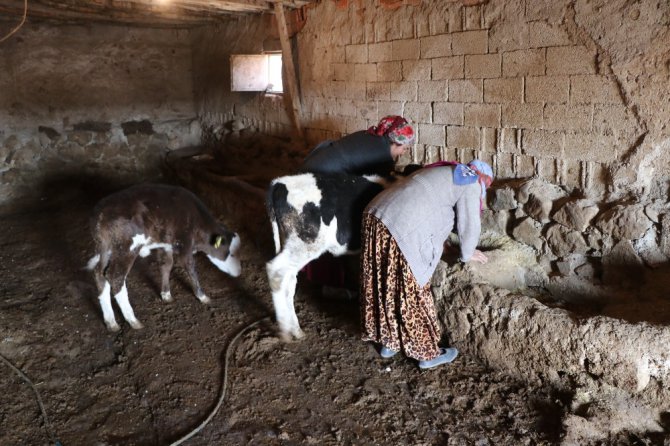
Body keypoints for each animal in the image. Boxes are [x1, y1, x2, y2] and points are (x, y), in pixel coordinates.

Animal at [88, 182, 242, 332]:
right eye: (231, 253)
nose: (239, 271)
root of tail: (101, 212)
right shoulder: (184, 244)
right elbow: (191, 268)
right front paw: (202, 296)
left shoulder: (166, 244)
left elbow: (166, 265)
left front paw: (166, 294)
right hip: (127, 249)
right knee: (115, 276)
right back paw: (132, 320)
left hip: (105, 249)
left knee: (100, 274)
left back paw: (111, 321)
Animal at [266, 172, 392, 340]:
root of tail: (280, 182)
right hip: (305, 245)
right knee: (275, 271)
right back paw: (286, 331)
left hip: (293, 245)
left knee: (288, 280)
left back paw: (297, 330)